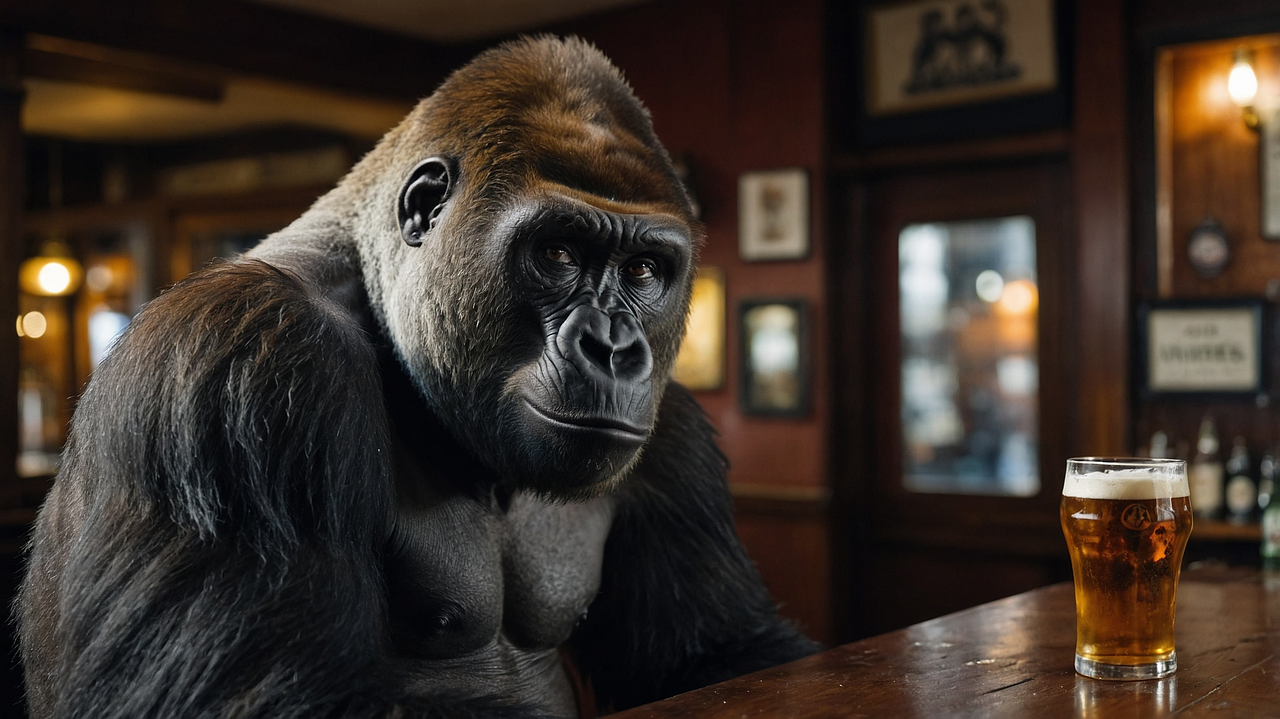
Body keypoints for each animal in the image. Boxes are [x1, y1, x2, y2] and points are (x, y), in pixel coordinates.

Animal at [17, 35, 817, 718]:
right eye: (557, 252)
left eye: (646, 269)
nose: (613, 348)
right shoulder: (238, 358)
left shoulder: (671, 431)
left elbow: (719, 654)